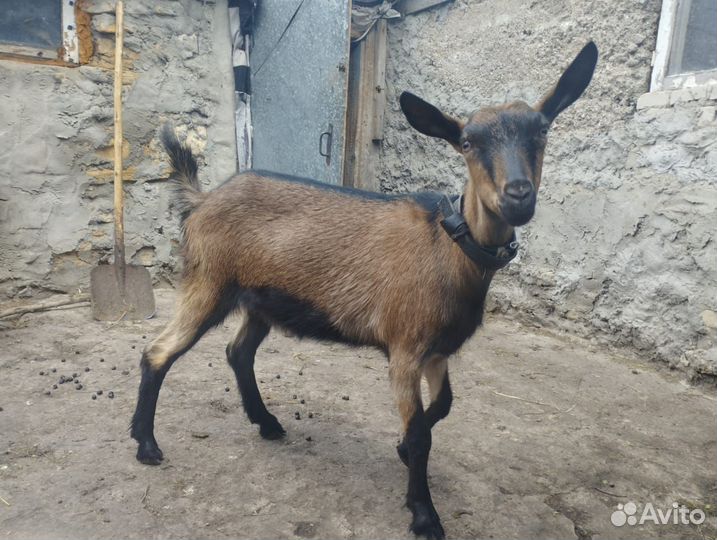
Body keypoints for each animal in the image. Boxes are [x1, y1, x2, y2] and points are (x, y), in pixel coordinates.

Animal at [130, 42, 598, 539]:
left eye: (542, 130)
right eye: (468, 142)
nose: (518, 195)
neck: (449, 248)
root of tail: (200, 201)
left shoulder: (436, 351)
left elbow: (443, 407)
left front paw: (402, 452)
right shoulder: (406, 348)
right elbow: (421, 432)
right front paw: (424, 513)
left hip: (260, 301)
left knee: (238, 352)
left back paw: (267, 422)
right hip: (208, 281)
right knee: (158, 352)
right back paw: (146, 444)